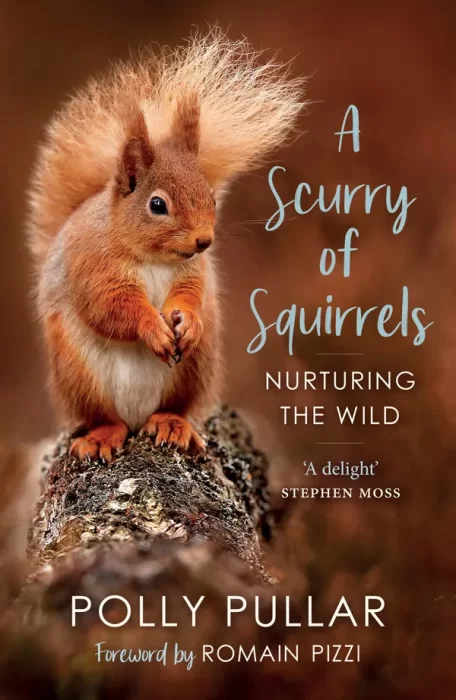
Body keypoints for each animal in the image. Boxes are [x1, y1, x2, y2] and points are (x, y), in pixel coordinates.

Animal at [27, 31, 305, 461]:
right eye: (158, 205)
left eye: (211, 196)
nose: (204, 240)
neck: (153, 259)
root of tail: (137, 417)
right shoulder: (93, 266)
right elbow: (111, 307)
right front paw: (152, 328)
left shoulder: (192, 272)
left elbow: (190, 294)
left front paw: (184, 320)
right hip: (79, 375)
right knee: (106, 418)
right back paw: (102, 436)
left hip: (195, 368)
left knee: (173, 408)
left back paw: (172, 426)